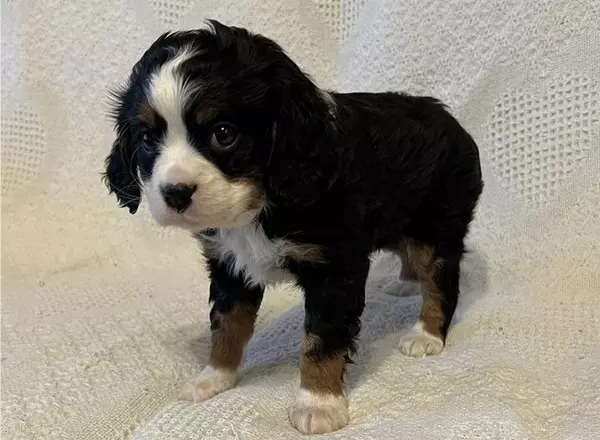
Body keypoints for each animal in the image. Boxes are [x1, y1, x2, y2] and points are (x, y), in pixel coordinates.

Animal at [104, 19, 482, 434]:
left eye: (224, 134)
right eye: (146, 139)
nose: (175, 193)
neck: (261, 202)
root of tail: (447, 116)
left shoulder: (334, 269)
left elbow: (321, 339)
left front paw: (318, 405)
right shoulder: (229, 265)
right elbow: (226, 324)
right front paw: (213, 378)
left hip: (438, 223)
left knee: (442, 281)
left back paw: (426, 334)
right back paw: (405, 282)